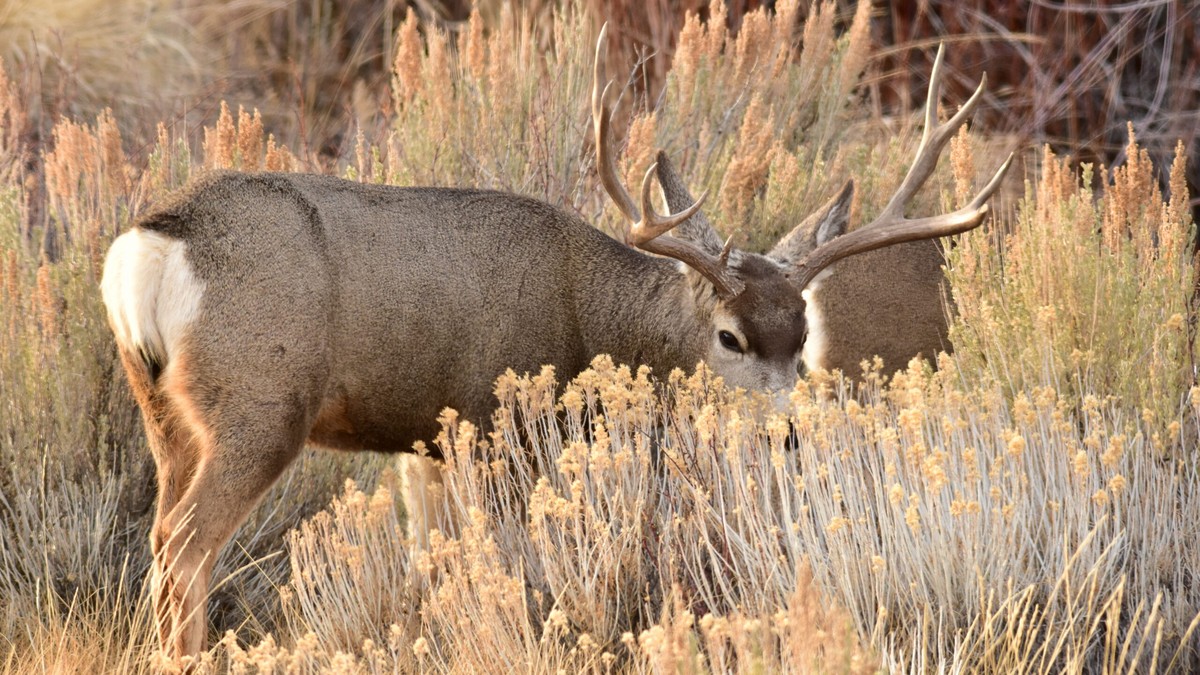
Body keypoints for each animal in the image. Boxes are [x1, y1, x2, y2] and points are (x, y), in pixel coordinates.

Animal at [99, 27, 1010, 663]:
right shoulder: (494, 423)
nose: (787, 432)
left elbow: (430, 563)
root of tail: (154, 241)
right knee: (183, 544)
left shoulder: (426, 442)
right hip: (260, 405)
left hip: (166, 413)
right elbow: (502, 564)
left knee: (162, 537)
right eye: (729, 335)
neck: (585, 314)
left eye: (803, 332)